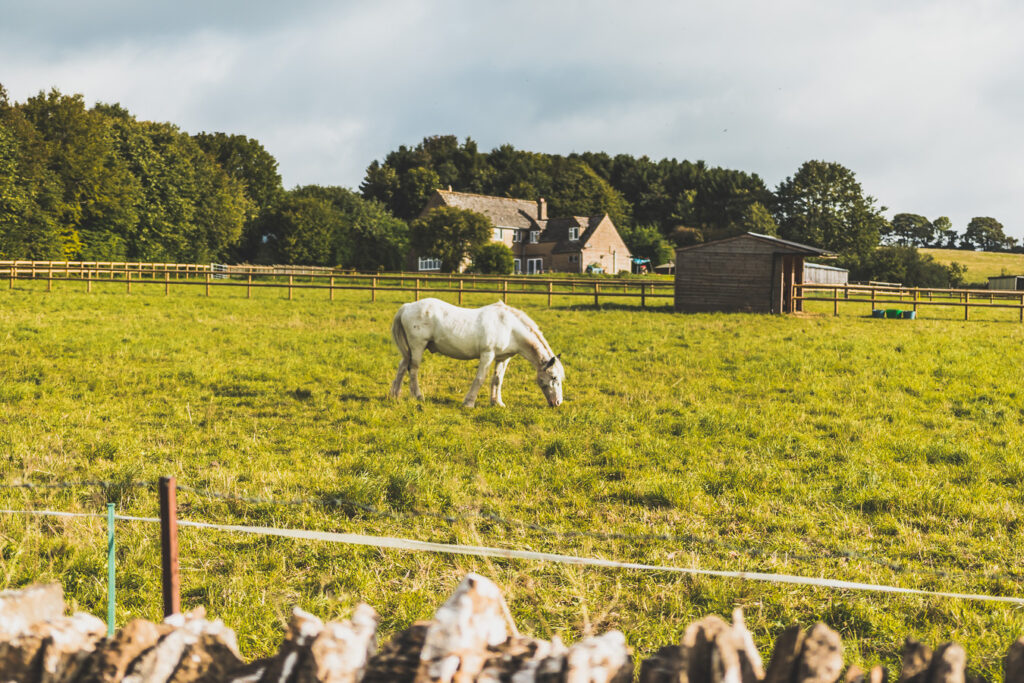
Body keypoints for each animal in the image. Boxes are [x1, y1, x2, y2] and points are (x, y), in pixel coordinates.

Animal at [391, 296, 569, 405]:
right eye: (553, 377)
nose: (557, 403)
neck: (510, 327)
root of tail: (407, 307)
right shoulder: (487, 355)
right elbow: (480, 378)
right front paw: (469, 402)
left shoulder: (503, 359)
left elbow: (497, 380)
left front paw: (497, 403)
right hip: (418, 346)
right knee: (413, 369)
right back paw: (418, 396)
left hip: (409, 350)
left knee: (402, 366)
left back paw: (394, 395)